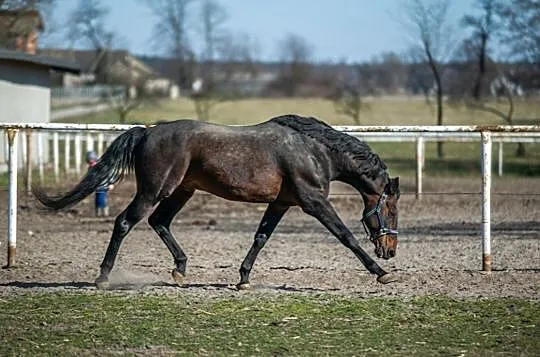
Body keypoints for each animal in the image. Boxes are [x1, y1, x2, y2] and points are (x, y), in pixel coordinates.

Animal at [31, 114, 398, 290]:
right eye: (391, 209)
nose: (390, 250)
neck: (314, 151)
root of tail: (147, 131)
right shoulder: (314, 201)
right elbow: (346, 236)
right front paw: (381, 274)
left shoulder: (281, 203)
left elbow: (261, 237)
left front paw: (244, 279)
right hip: (154, 191)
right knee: (125, 221)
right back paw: (103, 277)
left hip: (182, 191)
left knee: (158, 221)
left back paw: (180, 270)